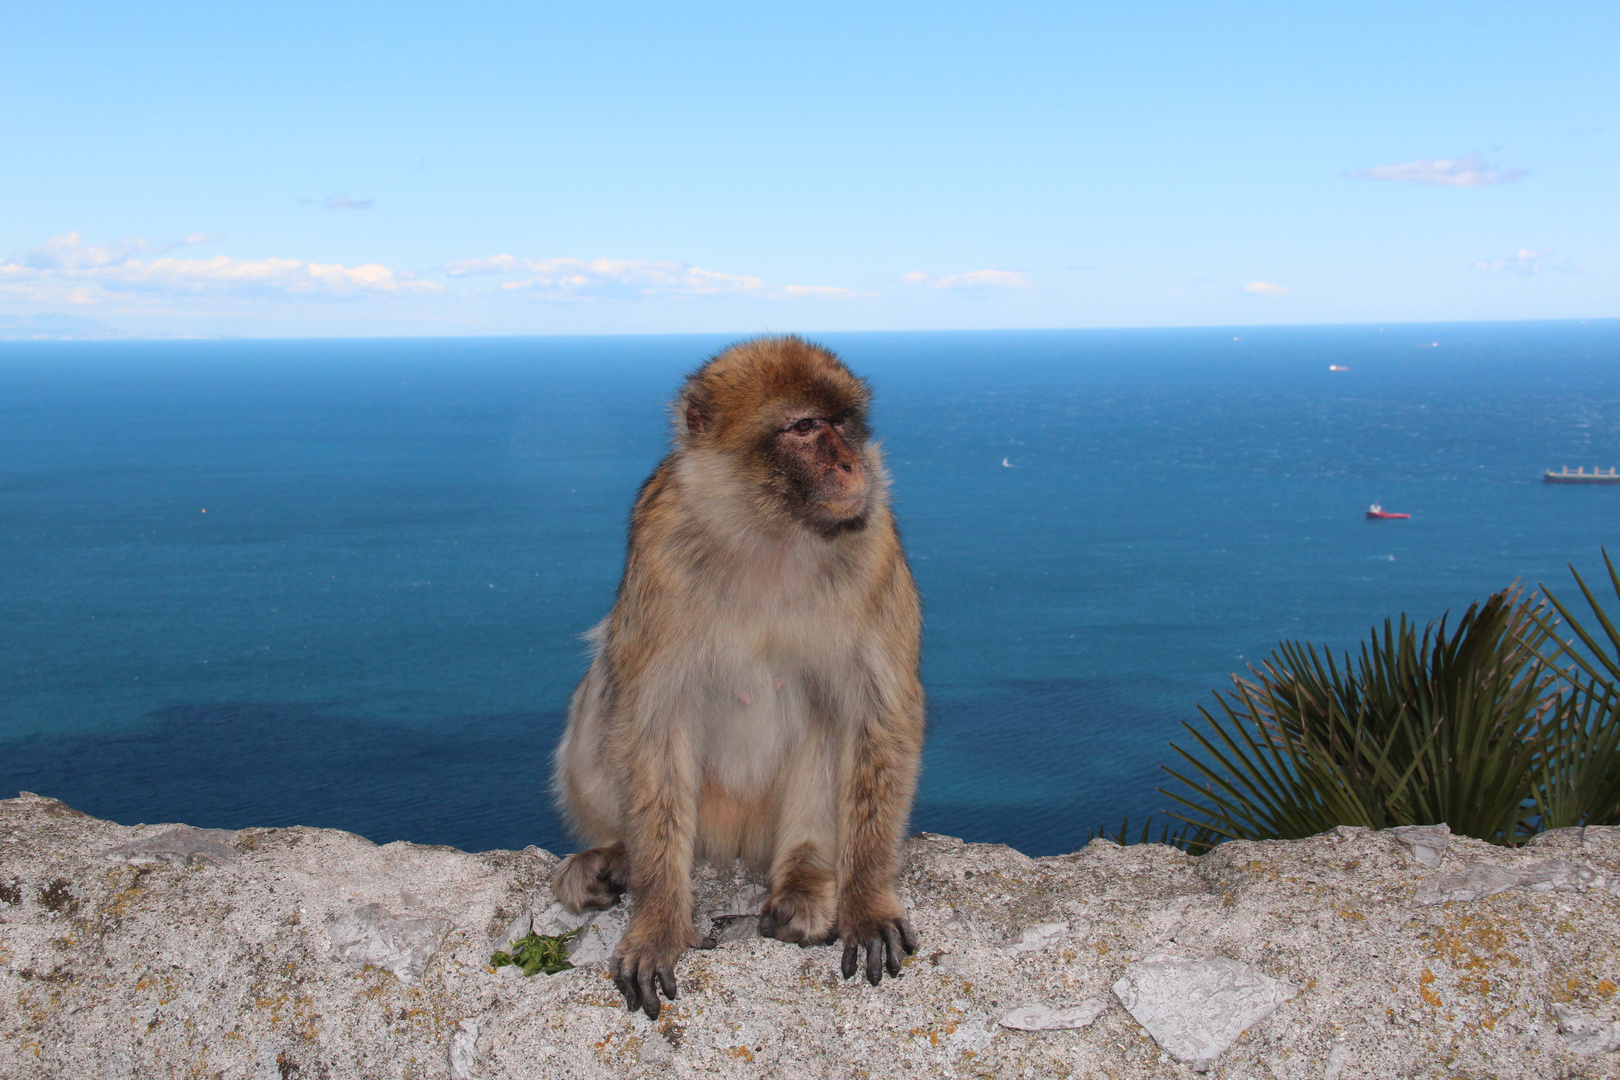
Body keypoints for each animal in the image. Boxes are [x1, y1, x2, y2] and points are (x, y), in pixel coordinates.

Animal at [550, 338, 926, 1023]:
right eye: (805, 427)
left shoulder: (874, 544)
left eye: (844, 422)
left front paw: (866, 900)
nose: (851, 462)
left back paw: (806, 881)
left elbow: (877, 713)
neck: (770, 533)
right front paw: (658, 921)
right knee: (606, 685)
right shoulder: (660, 545)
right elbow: (652, 720)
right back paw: (614, 857)